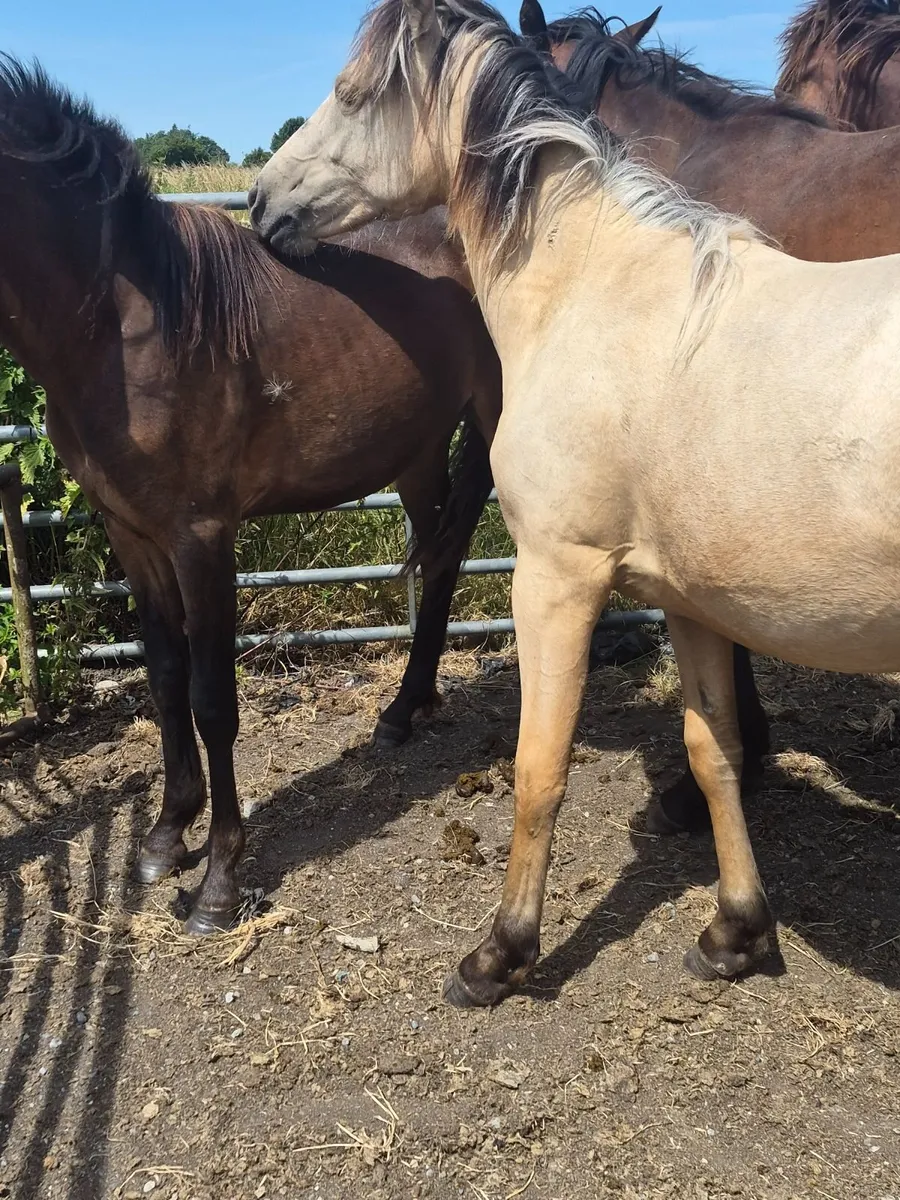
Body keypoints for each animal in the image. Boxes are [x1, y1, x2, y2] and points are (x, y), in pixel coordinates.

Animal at [0, 56, 502, 935]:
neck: (124, 329)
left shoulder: (201, 536)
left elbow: (211, 700)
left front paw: (218, 882)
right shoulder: (131, 531)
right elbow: (164, 675)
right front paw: (166, 837)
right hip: (415, 452)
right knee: (440, 559)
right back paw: (405, 710)